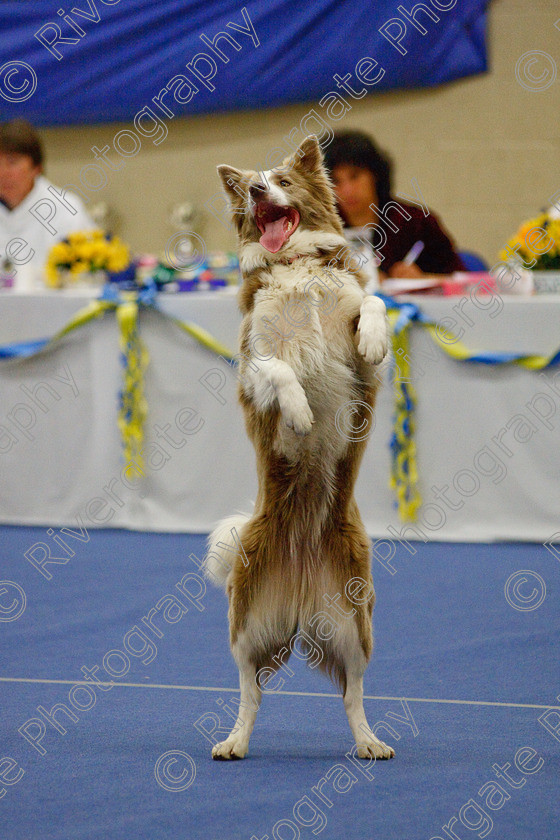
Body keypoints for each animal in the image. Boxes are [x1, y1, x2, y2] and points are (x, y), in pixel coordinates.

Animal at [205, 133, 394, 760]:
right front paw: (301, 413)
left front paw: (375, 336)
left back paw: (370, 742)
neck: (295, 266)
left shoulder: (361, 373)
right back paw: (234, 741)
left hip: (356, 623)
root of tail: (302, 596)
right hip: (245, 623)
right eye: (251, 186)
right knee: (250, 692)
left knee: (353, 694)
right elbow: (280, 371)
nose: (260, 190)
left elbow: (374, 307)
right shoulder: (252, 364)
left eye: (283, 181)